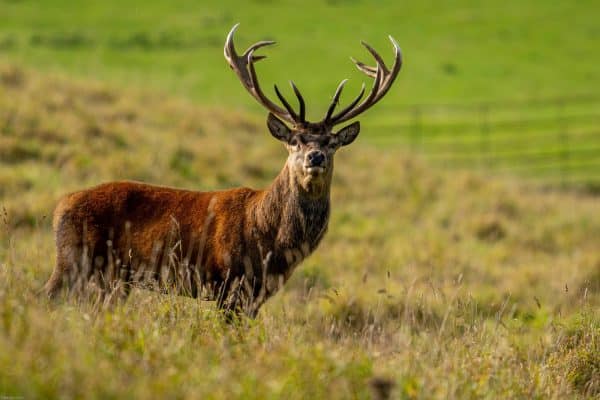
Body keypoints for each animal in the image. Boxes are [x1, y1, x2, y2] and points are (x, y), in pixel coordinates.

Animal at [43, 24, 404, 318]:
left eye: (331, 142)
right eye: (295, 141)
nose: (315, 157)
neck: (270, 237)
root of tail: (59, 206)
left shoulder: (258, 293)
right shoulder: (228, 281)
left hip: (112, 276)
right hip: (74, 259)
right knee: (45, 296)